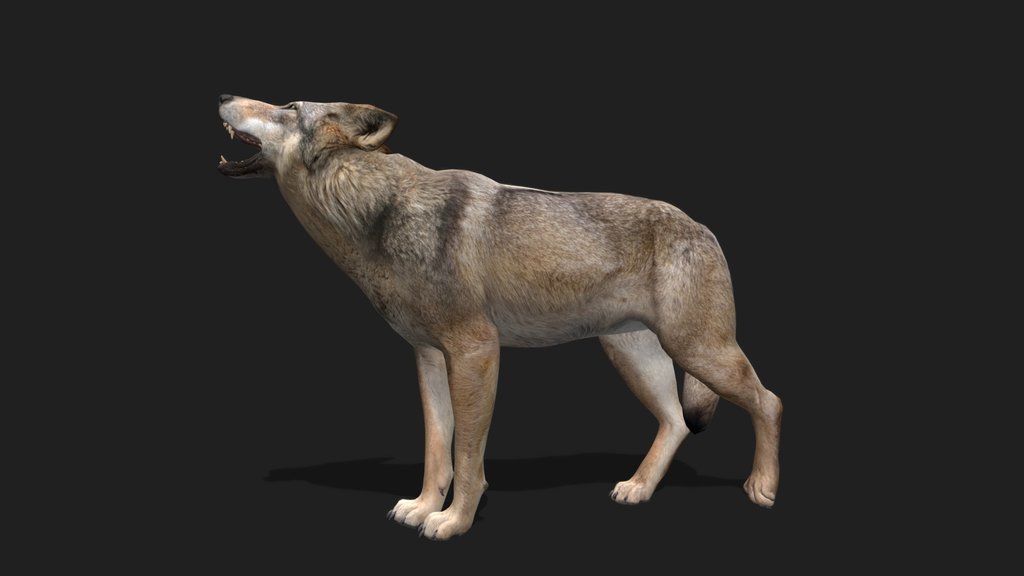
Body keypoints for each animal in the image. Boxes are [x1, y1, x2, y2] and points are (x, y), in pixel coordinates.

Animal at [217, 94, 782, 540]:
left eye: (289, 107)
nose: (222, 95)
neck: (377, 213)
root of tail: (702, 225)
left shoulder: (475, 352)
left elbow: (468, 457)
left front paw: (452, 522)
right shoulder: (428, 358)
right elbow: (436, 449)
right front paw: (423, 507)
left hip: (700, 353)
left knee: (769, 402)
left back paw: (762, 487)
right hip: (636, 358)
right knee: (675, 422)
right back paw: (638, 488)